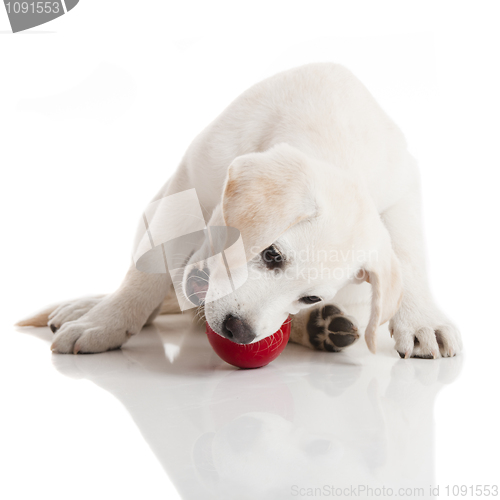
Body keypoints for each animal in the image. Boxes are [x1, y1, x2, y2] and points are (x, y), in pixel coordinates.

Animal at [17, 63, 462, 360]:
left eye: (309, 295)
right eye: (271, 254)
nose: (239, 331)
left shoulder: (403, 191)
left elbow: (407, 254)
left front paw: (422, 319)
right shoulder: (187, 182)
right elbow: (147, 271)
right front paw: (106, 321)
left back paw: (322, 328)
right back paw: (87, 306)